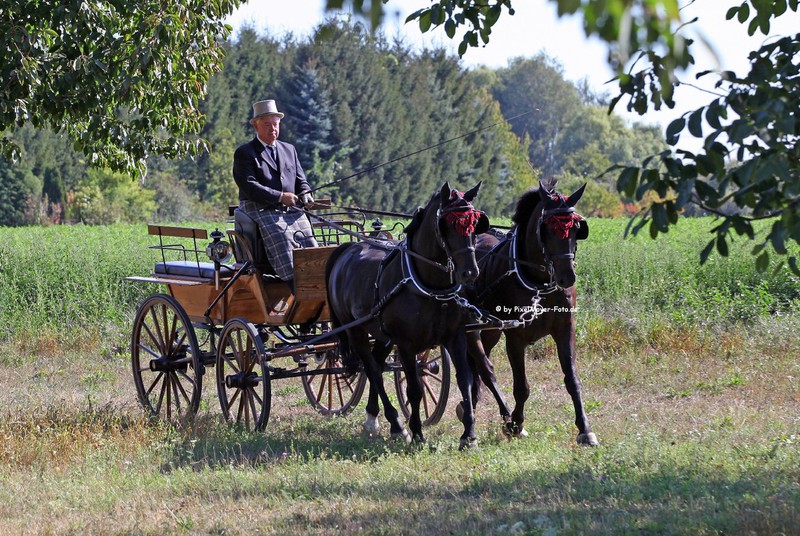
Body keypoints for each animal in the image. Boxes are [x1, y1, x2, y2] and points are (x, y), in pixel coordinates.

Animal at [325, 181, 490, 449]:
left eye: (475, 224)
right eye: (447, 225)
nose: (470, 273)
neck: (429, 286)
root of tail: (348, 249)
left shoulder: (455, 337)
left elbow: (464, 380)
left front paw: (469, 434)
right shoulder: (405, 344)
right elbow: (414, 389)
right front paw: (417, 433)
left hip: (381, 335)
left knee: (376, 364)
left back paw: (372, 417)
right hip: (355, 331)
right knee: (373, 371)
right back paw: (396, 425)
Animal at [464, 181, 598, 446]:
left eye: (577, 228)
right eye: (546, 228)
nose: (567, 277)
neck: (540, 283)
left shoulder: (565, 329)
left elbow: (572, 380)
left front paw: (585, 429)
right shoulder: (516, 337)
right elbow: (521, 386)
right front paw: (516, 424)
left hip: (490, 332)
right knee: (482, 367)